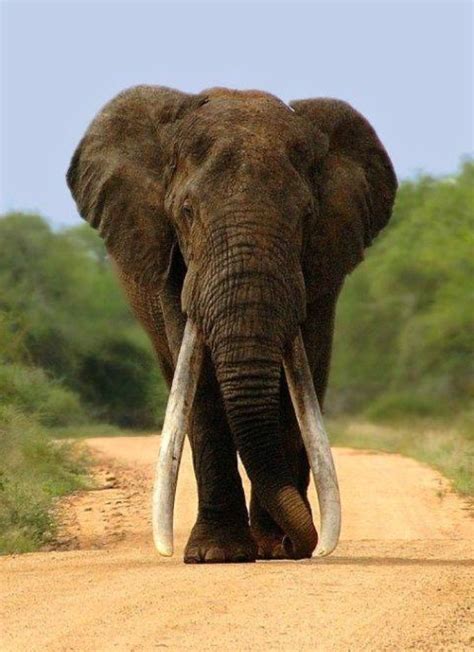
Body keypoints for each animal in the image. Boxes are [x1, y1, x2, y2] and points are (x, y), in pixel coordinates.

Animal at [66, 86, 398, 564]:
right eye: (186, 212)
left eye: (306, 216)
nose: (301, 545)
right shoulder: (173, 262)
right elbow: (201, 387)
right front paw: (217, 554)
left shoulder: (321, 266)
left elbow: (298, 383)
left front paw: (275, 548)